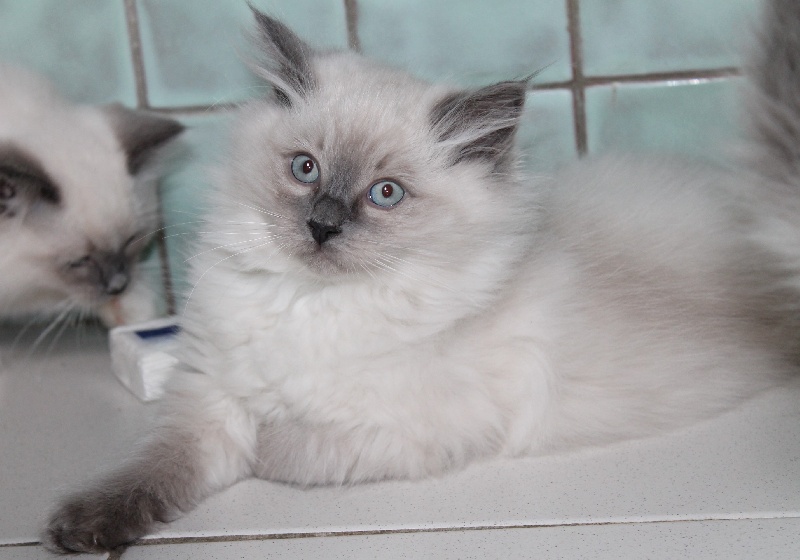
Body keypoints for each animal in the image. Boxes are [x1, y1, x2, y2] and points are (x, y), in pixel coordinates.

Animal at [43, 2, 800, 552]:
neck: (311, 301)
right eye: (306, 169)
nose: (322, 226)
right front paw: (80, 531)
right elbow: (152, 471)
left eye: (385, 194)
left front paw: (266, 438)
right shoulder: (208, 396)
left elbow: (278, 445)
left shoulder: (414, 426)